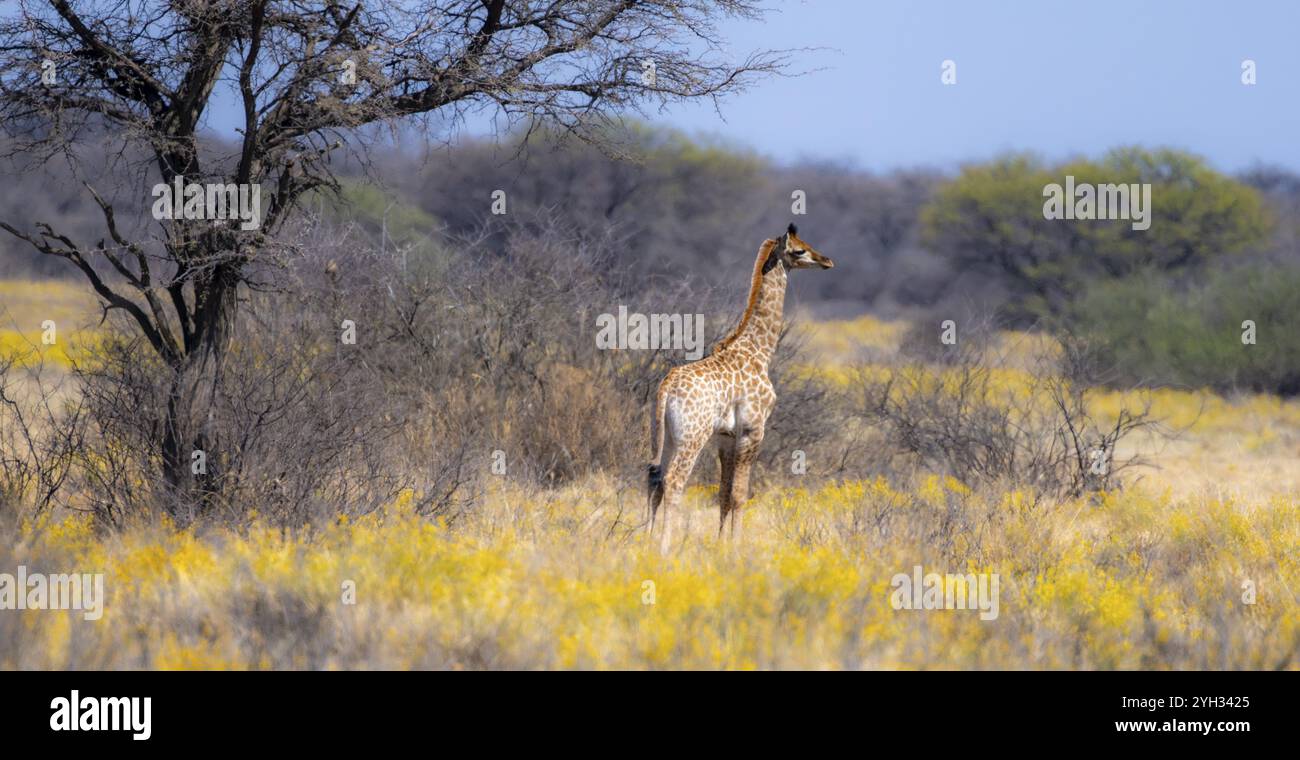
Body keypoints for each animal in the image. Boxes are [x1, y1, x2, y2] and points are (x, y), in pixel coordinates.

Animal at [647, 222, 832, 548]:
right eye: (799, 250)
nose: (827, 261)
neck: (759, 350)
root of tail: (666, 388)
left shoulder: (726, 437)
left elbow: (723, 493)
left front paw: (721, 544)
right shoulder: (753, 430)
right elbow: (740, 494)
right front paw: (735, 547)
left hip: (665, 435)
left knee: (652, 478)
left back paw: (643, 539)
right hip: (692, 437)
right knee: (673, 481)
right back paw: (664, 547)